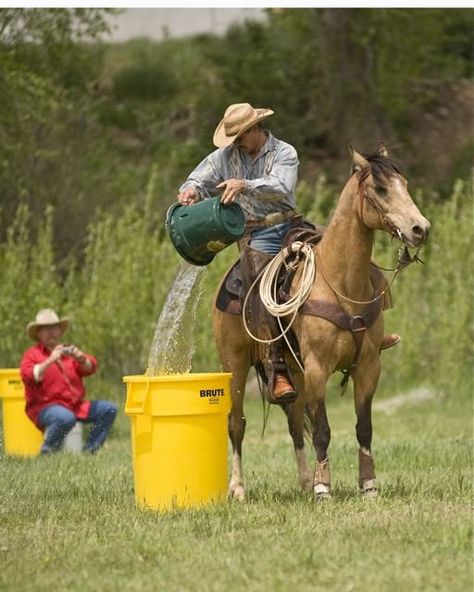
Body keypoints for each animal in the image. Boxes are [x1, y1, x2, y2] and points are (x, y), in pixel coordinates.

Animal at [213, 143, 432, 500]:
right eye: (380, 188)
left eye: (405, 184)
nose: (420, 229)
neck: (341, 282)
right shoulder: (317, 368)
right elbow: (322, 429)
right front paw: (323, 488)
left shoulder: (368, 366)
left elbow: (363, 427)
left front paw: (368, 485)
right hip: (235, 364)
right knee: (237, 423)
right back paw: (239, 489)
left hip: (294, 371)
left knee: (292, 422)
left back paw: (303, 481)